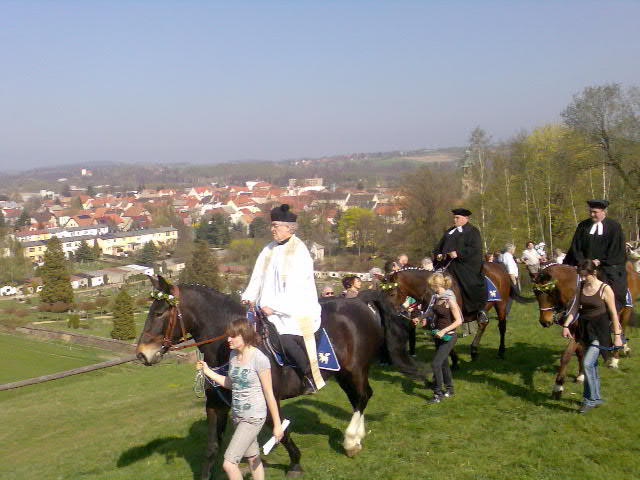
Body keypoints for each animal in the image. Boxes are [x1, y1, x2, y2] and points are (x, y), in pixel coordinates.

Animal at [137, 276, 422, 478]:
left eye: (159, 313)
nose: (141, 354)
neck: (231, 345)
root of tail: (361, 302)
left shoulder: (266, 400)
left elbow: (281, 432)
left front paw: (295, 463)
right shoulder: (216, 405)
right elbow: (211, 449)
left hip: (356, 369)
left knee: (362, 397)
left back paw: (351, 441)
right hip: (344, 374)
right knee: (359, 399)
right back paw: (357, 437)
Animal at [382, 262, 532, 360]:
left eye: (391, 293)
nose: (387, 312)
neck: (433, 290)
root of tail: (500, 266)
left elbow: (447, 335)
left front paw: (454, 362)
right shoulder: (433, 319)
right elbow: (439, 336)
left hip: (501, 304)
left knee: (501, 326)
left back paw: (501, 351)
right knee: (483, 324)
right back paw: (474, 350)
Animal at [532, 260, 636, 400]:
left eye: (550, 293)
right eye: (536, 293)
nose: (544, 321)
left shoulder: (577, 332)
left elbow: (566, 355)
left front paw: (558, 386)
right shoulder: (577, 330)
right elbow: (580, 352)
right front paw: (581, 375)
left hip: (625, 313)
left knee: (620, 331)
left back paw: (615, 358)